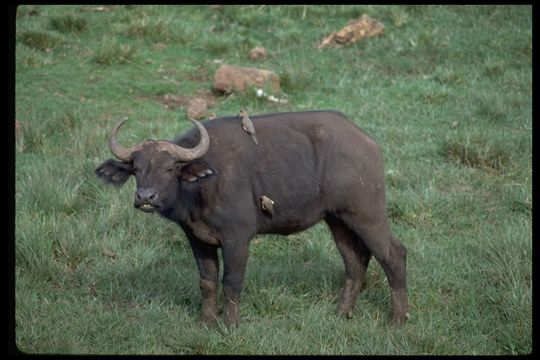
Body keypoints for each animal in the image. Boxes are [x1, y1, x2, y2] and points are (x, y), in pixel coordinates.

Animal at [96, 109, 410, 326]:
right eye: (136, 167)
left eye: (171, 167)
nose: (146, 197)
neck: (203, 186)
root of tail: (367, 143)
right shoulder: (197, 238)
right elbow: (207, 281)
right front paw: (206, 321)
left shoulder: (237, 238)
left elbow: (232, 281)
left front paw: (230, 324)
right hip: (337, 219)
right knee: (355, 261)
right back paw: (343, 313)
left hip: (367, 214)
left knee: (394, 255)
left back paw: (397, 320)